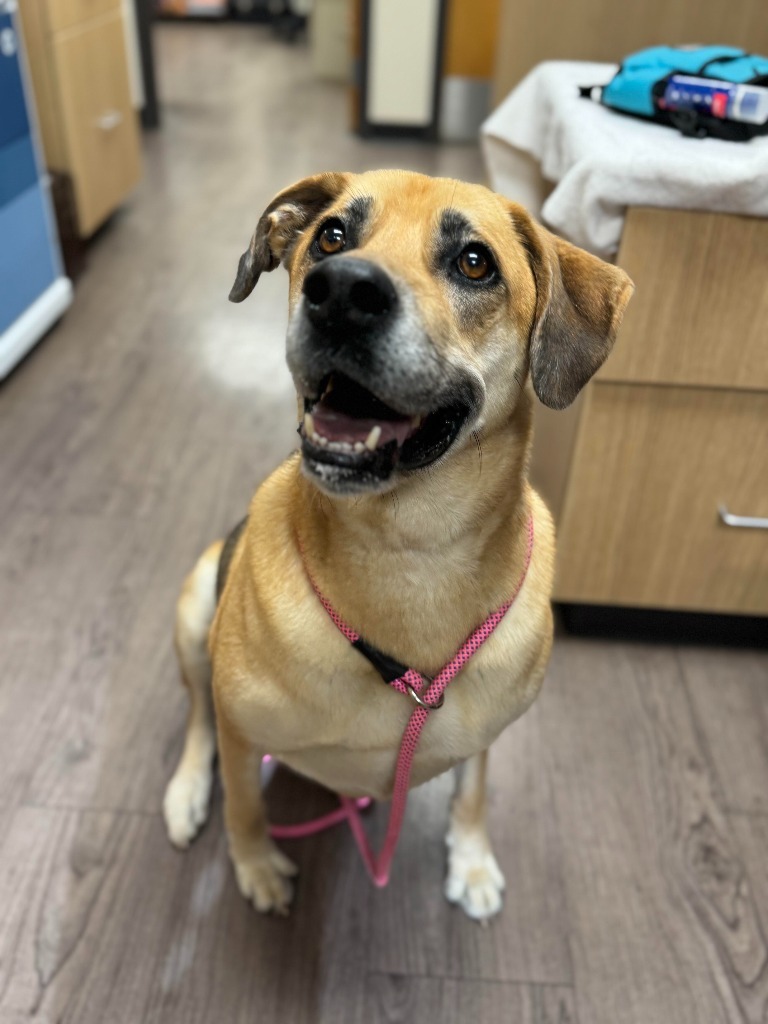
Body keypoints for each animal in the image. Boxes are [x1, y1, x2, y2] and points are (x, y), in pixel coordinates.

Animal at [162, 167, 630, 921]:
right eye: (331, 235)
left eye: (475, 262)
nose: (342, 293)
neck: (411, 552)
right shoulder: (242, 728)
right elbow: (244, 804)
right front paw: (257, 866)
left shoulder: (487, 732)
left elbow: (474, 787)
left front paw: (471, 860)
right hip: (195, 605)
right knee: (199, 712)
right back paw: (185, 793)